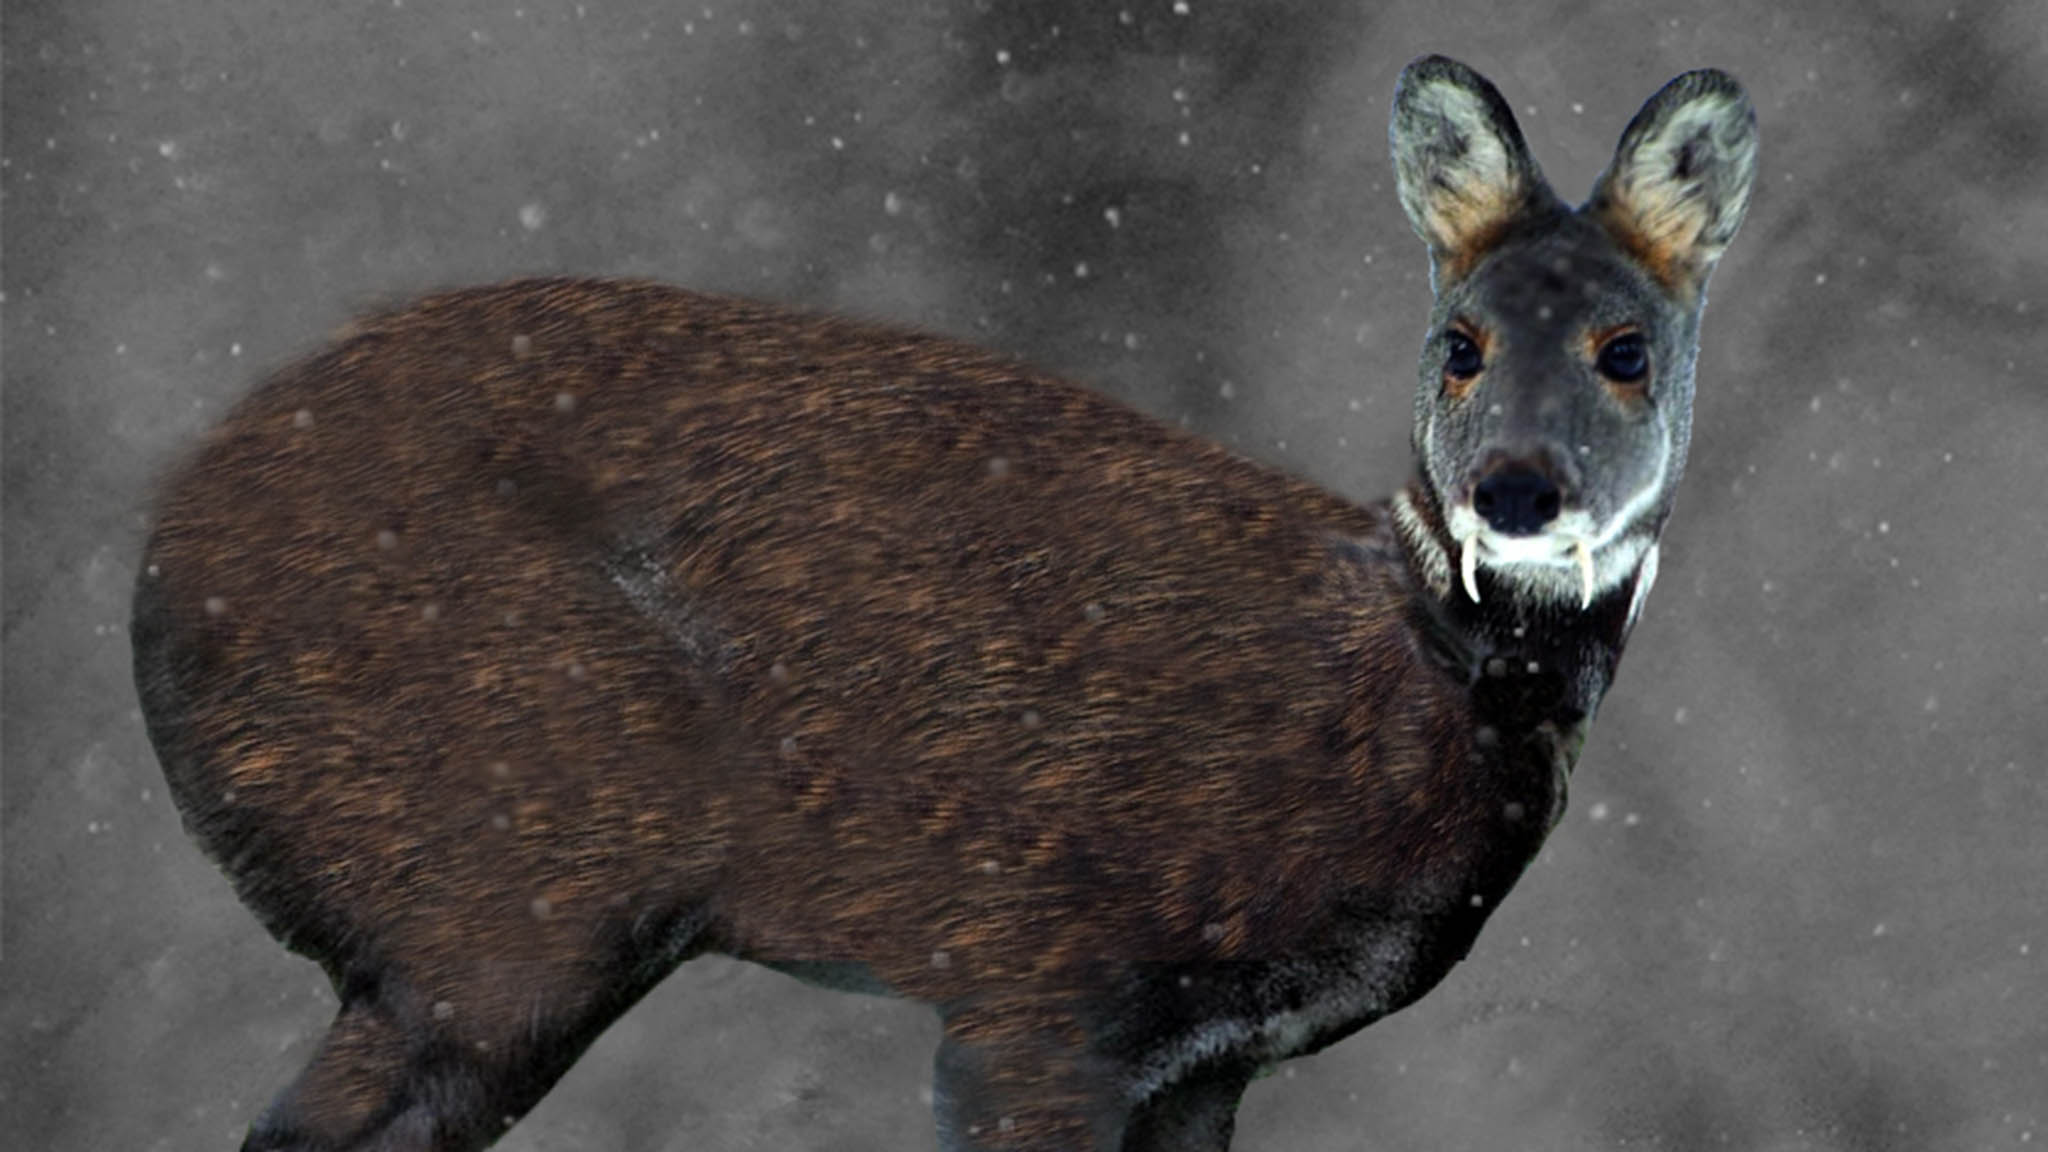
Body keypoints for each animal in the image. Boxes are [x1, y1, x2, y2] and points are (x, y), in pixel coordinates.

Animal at [131, 54, 1757, 1151]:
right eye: (1458, 342)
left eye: (1626, 348)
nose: (1515, 493)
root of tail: (158, 557)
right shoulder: (1041, 981)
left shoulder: (1209, 1056)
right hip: (507, 877)